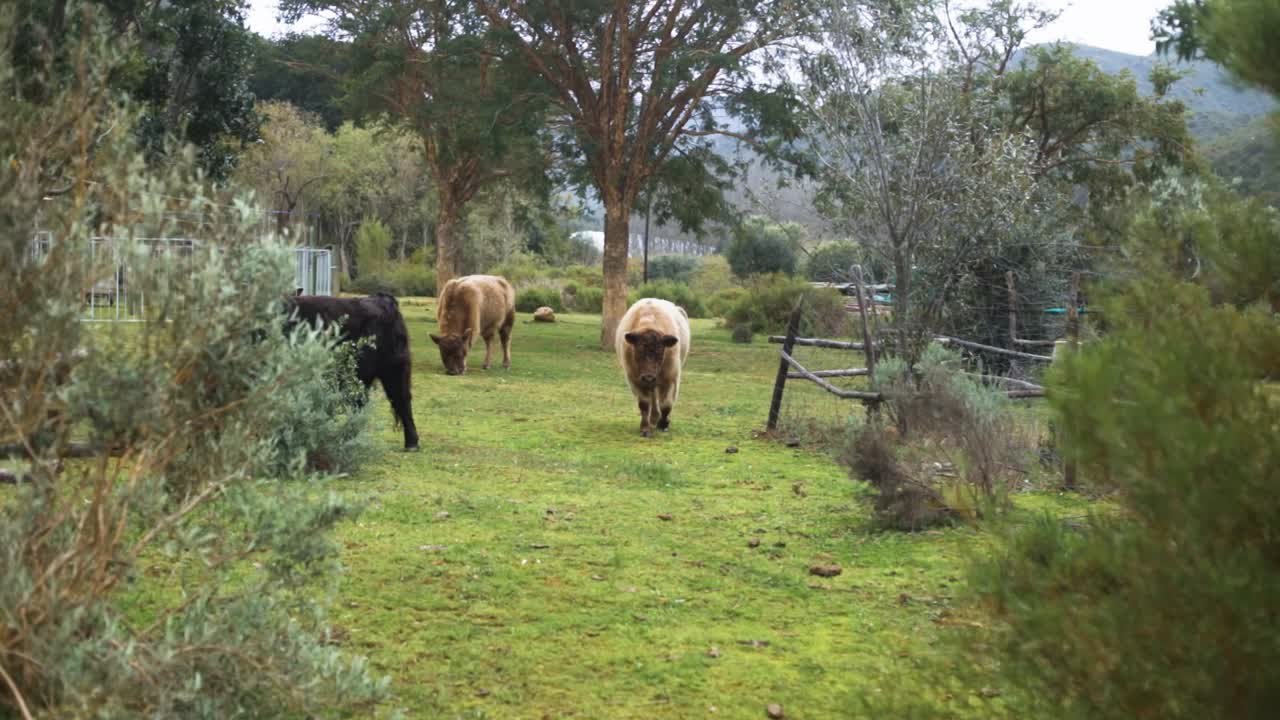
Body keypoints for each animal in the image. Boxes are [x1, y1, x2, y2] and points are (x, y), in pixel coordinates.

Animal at [615, 298, 691, 437]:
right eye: (638, 352)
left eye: (660, 353)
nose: (648, 377)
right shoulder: (635, 380)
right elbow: (644, 404)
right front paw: (645, 428)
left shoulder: (671, 378)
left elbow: (666, 404)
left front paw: (664, 424)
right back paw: (654, 418)